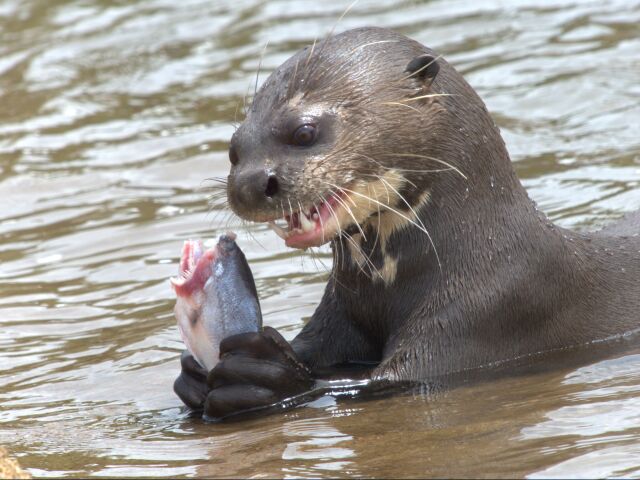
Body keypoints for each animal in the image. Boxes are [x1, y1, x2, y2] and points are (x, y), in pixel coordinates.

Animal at [174, 27, 640, 421]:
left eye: (304, 132)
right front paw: (192, 378)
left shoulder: (490, 307)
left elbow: (371, 381)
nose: (251, 184)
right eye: (234, 149)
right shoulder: (338, 315)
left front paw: (266, 376)